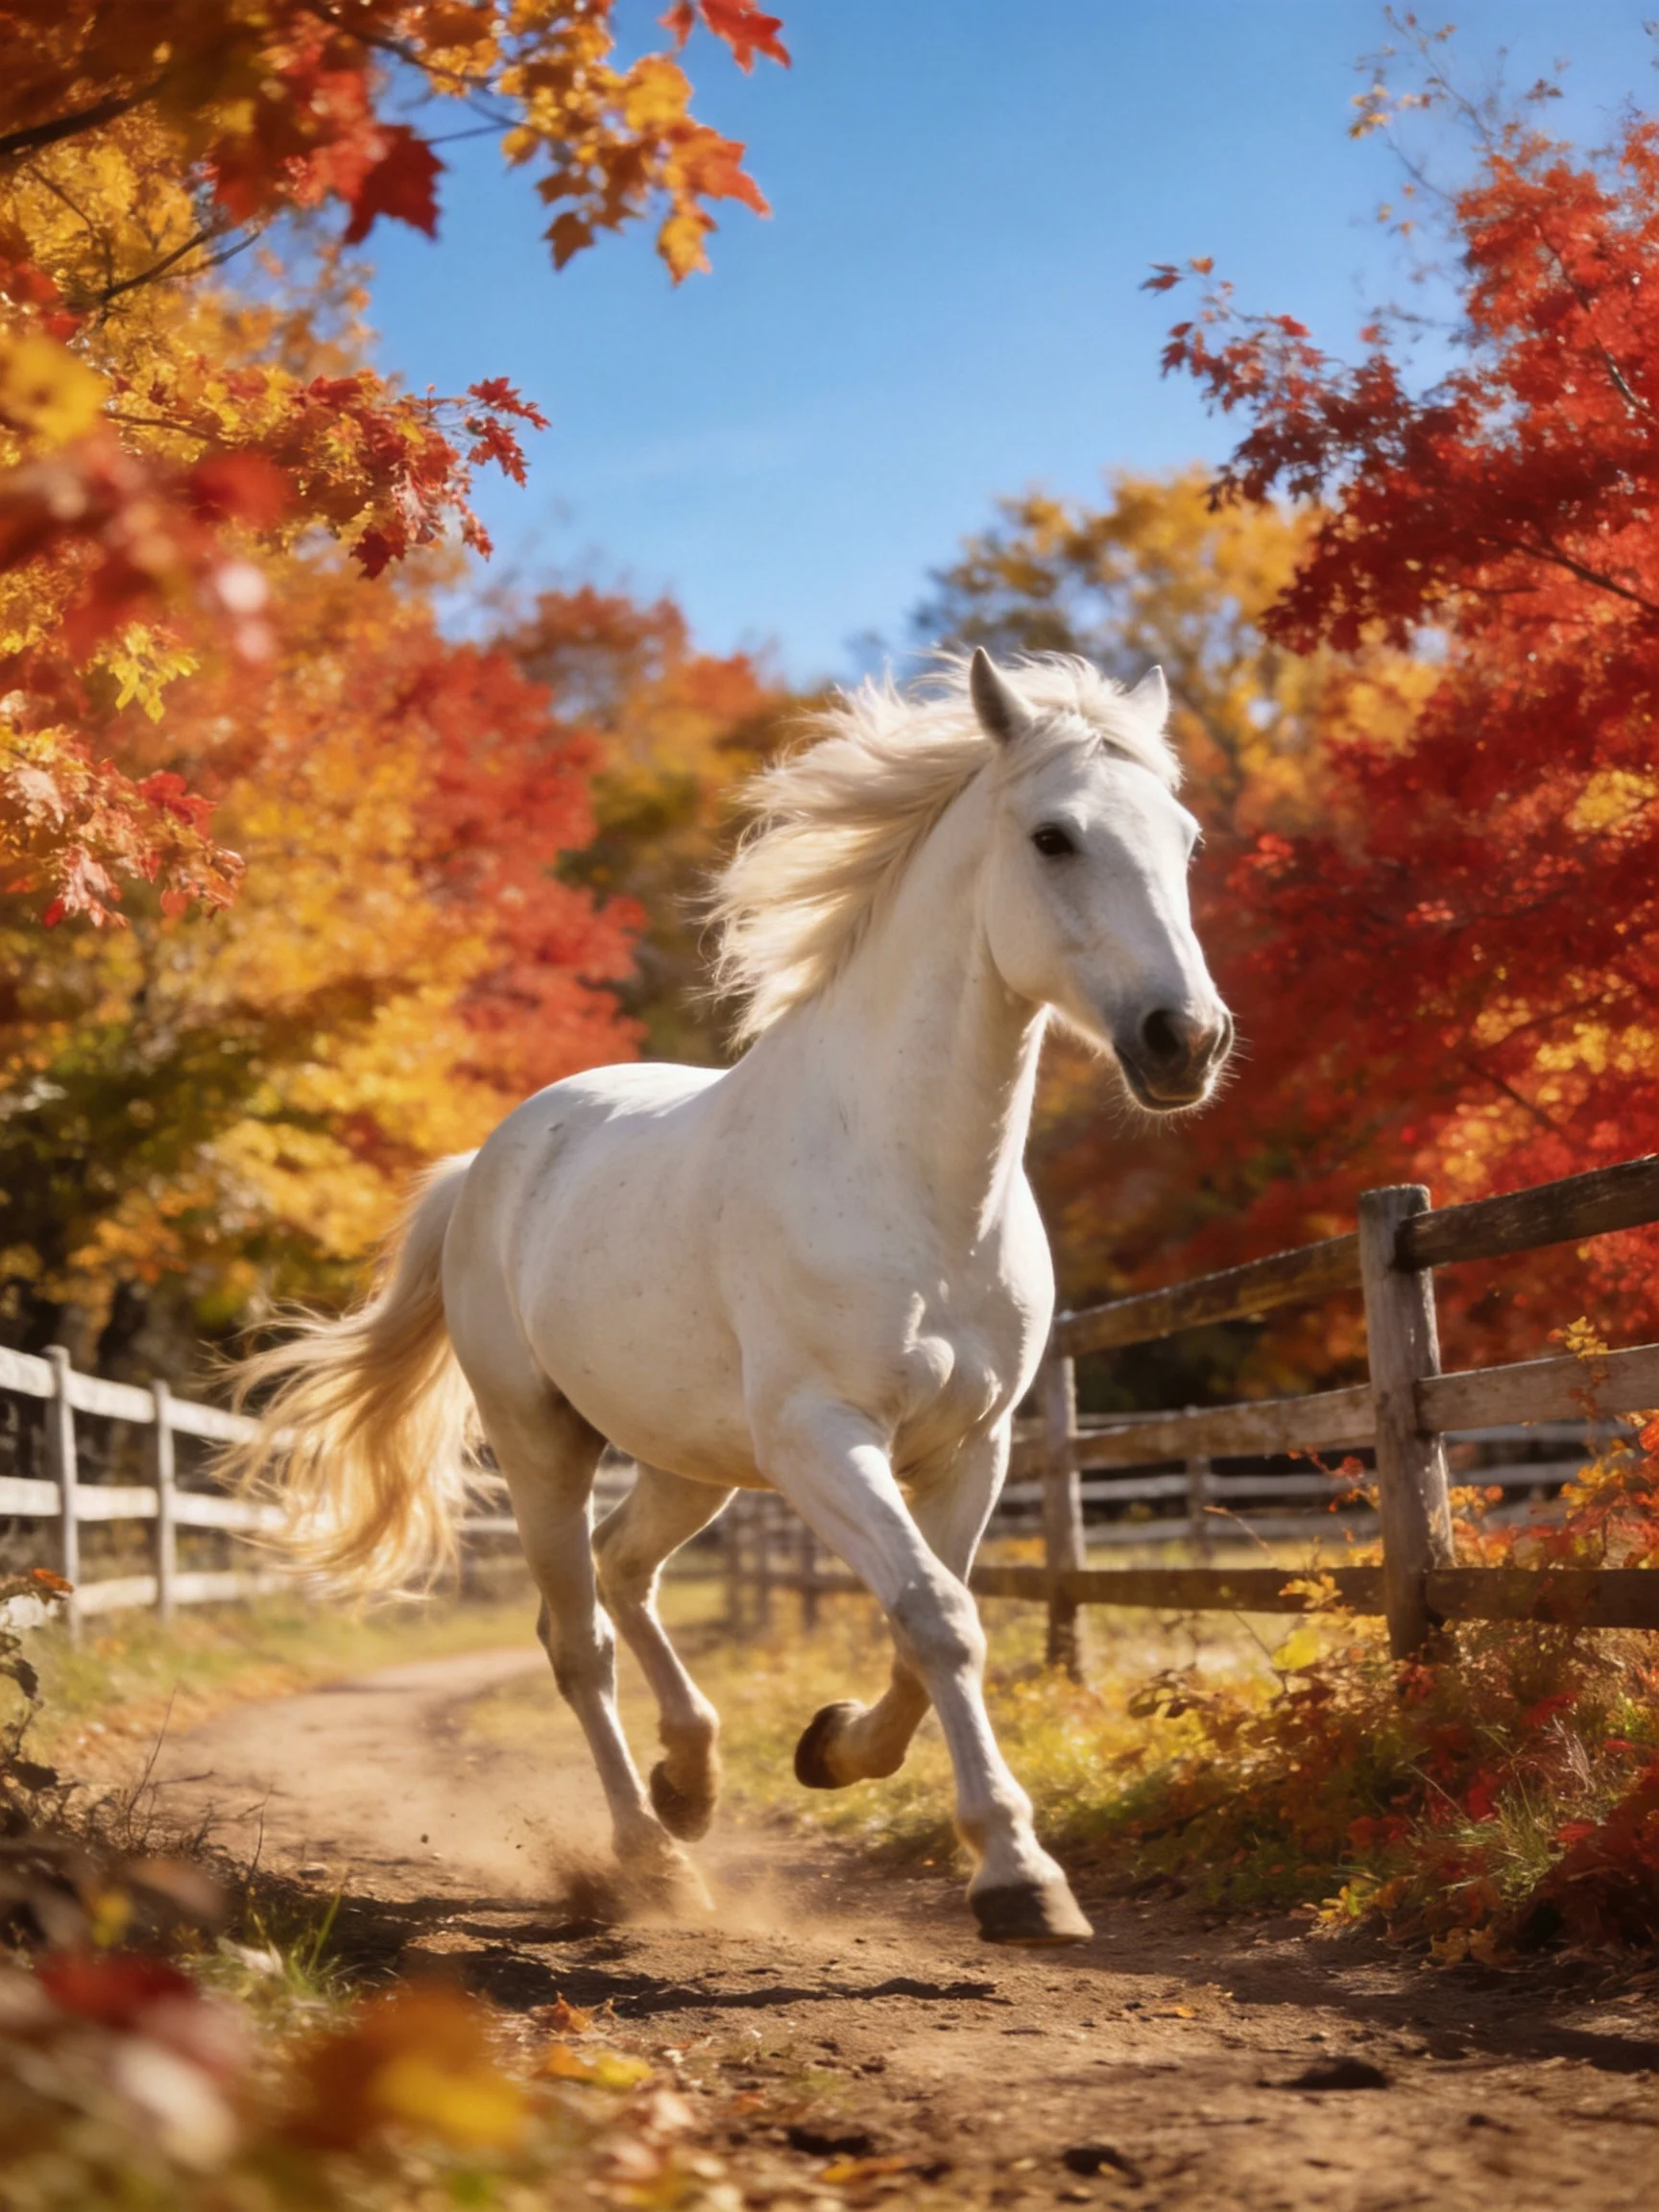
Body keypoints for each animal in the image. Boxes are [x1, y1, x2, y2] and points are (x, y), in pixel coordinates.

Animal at [225, 649, 1233, 1945]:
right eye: (1054, 837)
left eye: (1187, 839)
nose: (1184, 1040)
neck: (913, 1182)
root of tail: (491, 1159)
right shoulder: (823, 1439)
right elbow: (936, 1616)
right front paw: (1018, 1876)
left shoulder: (976, 1445)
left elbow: (936, 1619)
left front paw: (834, 1751)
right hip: (542, 1439)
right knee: (576, 1639)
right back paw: (652, 1859)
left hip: (688, 1460)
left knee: (624, 1569)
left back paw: (690, 1781)